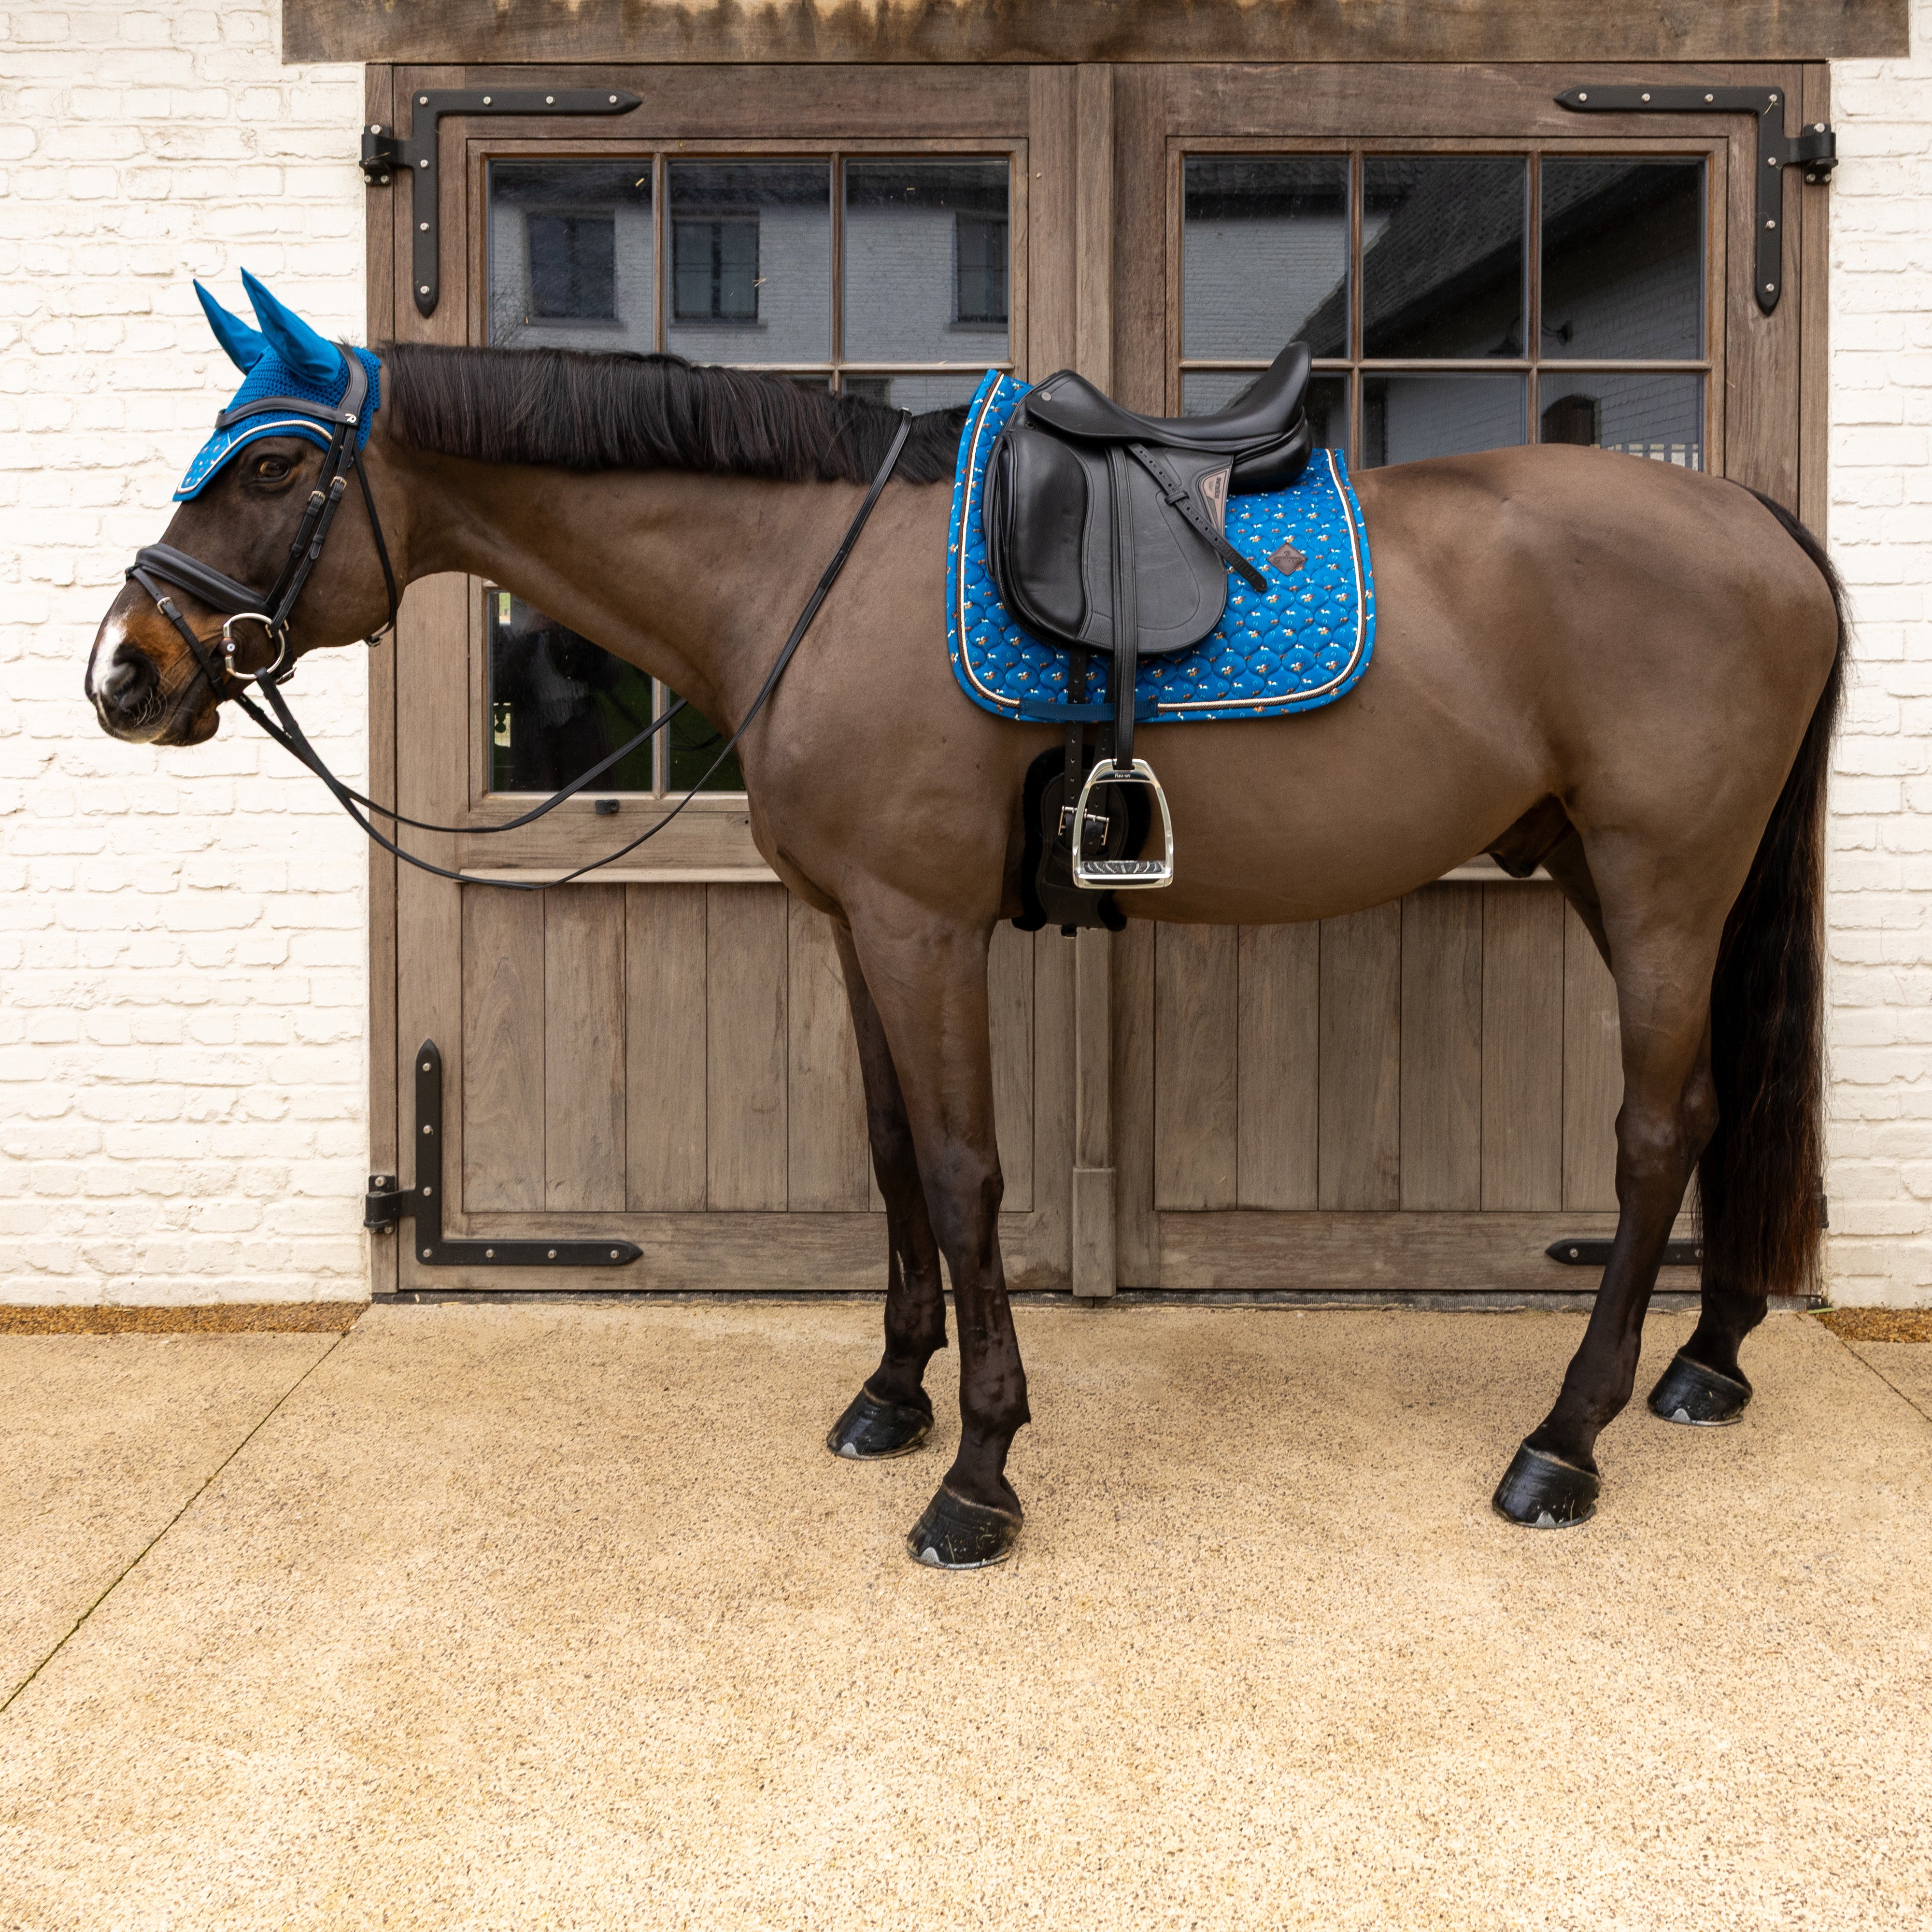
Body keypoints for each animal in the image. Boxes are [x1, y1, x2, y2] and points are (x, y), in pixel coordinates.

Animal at [86, 278, 1844, 1568]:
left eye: (270, 465)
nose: (126, 672)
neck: (804, 570)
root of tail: (1761, 523)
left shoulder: (923, 927)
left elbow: (961, 1169)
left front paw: (981, 1474)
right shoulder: (855, 924)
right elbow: (888, 1159)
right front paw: (892, 1398)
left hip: (1662, 882)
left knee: (1655, 1132)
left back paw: (1563, 1442)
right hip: (1625, 875)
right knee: (1724, 1104)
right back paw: (1708, 1361)